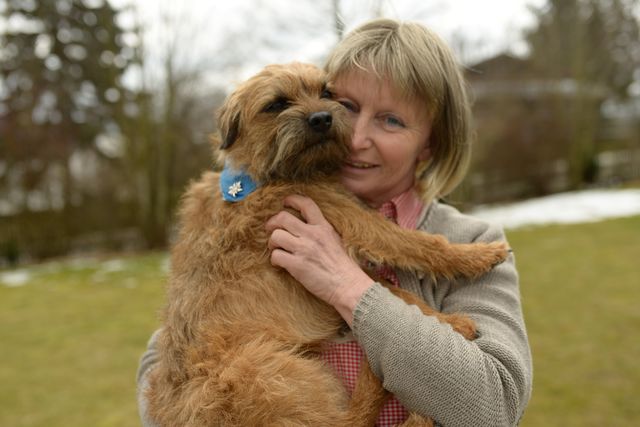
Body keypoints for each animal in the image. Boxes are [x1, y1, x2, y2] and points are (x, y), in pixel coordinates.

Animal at [145, 62, 509, 426]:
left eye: (327, 93)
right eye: (276, 104)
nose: (322, 118)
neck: (263, 175)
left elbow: (395, 292)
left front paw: (449, 318)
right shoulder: (353, 218)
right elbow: (414, 244)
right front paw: (479, 255)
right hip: (269, 371)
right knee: (351, 420)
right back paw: (379, 380)